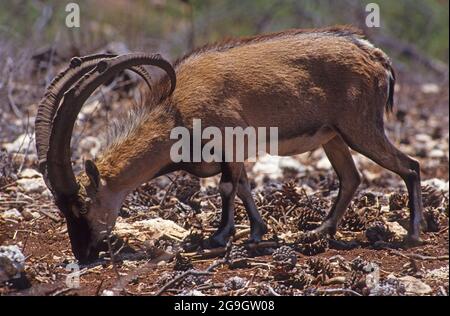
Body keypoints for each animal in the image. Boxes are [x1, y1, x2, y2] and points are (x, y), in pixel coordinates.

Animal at [35, 27, 426, 262]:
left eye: (82, 205)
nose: (83, 253)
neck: (176, 110)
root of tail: (377, 57)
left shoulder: (230, 143)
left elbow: (227, 187)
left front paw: (219, 237)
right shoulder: (233, 155)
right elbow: (242, 186)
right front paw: (256, 232)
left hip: (360, 128)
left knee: (410, 166)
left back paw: (413, 233)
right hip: (334, 137)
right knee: (351, 178)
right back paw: (318, 231)